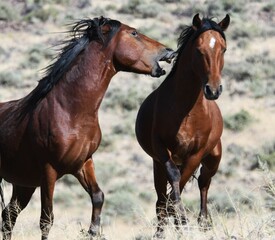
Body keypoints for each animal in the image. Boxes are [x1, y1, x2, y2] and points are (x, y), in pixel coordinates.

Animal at [0, 15, 176, 239]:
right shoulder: (48, 171)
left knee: (9, 215)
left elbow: (98, 196)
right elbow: (46, 219)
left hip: (24, 182)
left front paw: (92, 230)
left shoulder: (83, 163)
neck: (70, 111)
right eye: (134, 33)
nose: (168, 51)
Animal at [136, 13, 231, 238]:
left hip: (213, 159)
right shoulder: (162, 149)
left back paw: (202, 222)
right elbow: (173, 181)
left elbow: (182, 183)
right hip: (157, 163)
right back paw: (163, 231)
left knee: (203, 183)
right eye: (199, 49)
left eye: (223, 49)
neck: (187, 111)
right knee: (161, 198)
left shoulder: (196, 154)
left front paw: (184, 221)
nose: (213, 90)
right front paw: (179, 221)